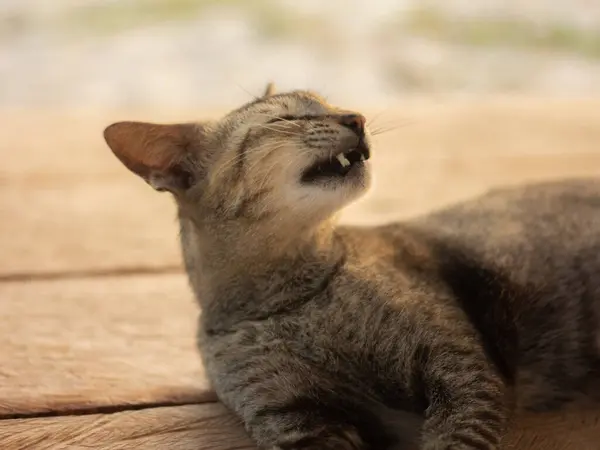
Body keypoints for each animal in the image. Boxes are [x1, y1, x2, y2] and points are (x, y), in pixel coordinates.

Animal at [103, 82, 600, 448]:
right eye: (286, 118)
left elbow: (456, 437)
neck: (286, 302)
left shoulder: (459, 366)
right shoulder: (291, 413)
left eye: (328, 105)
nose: (355, 117)